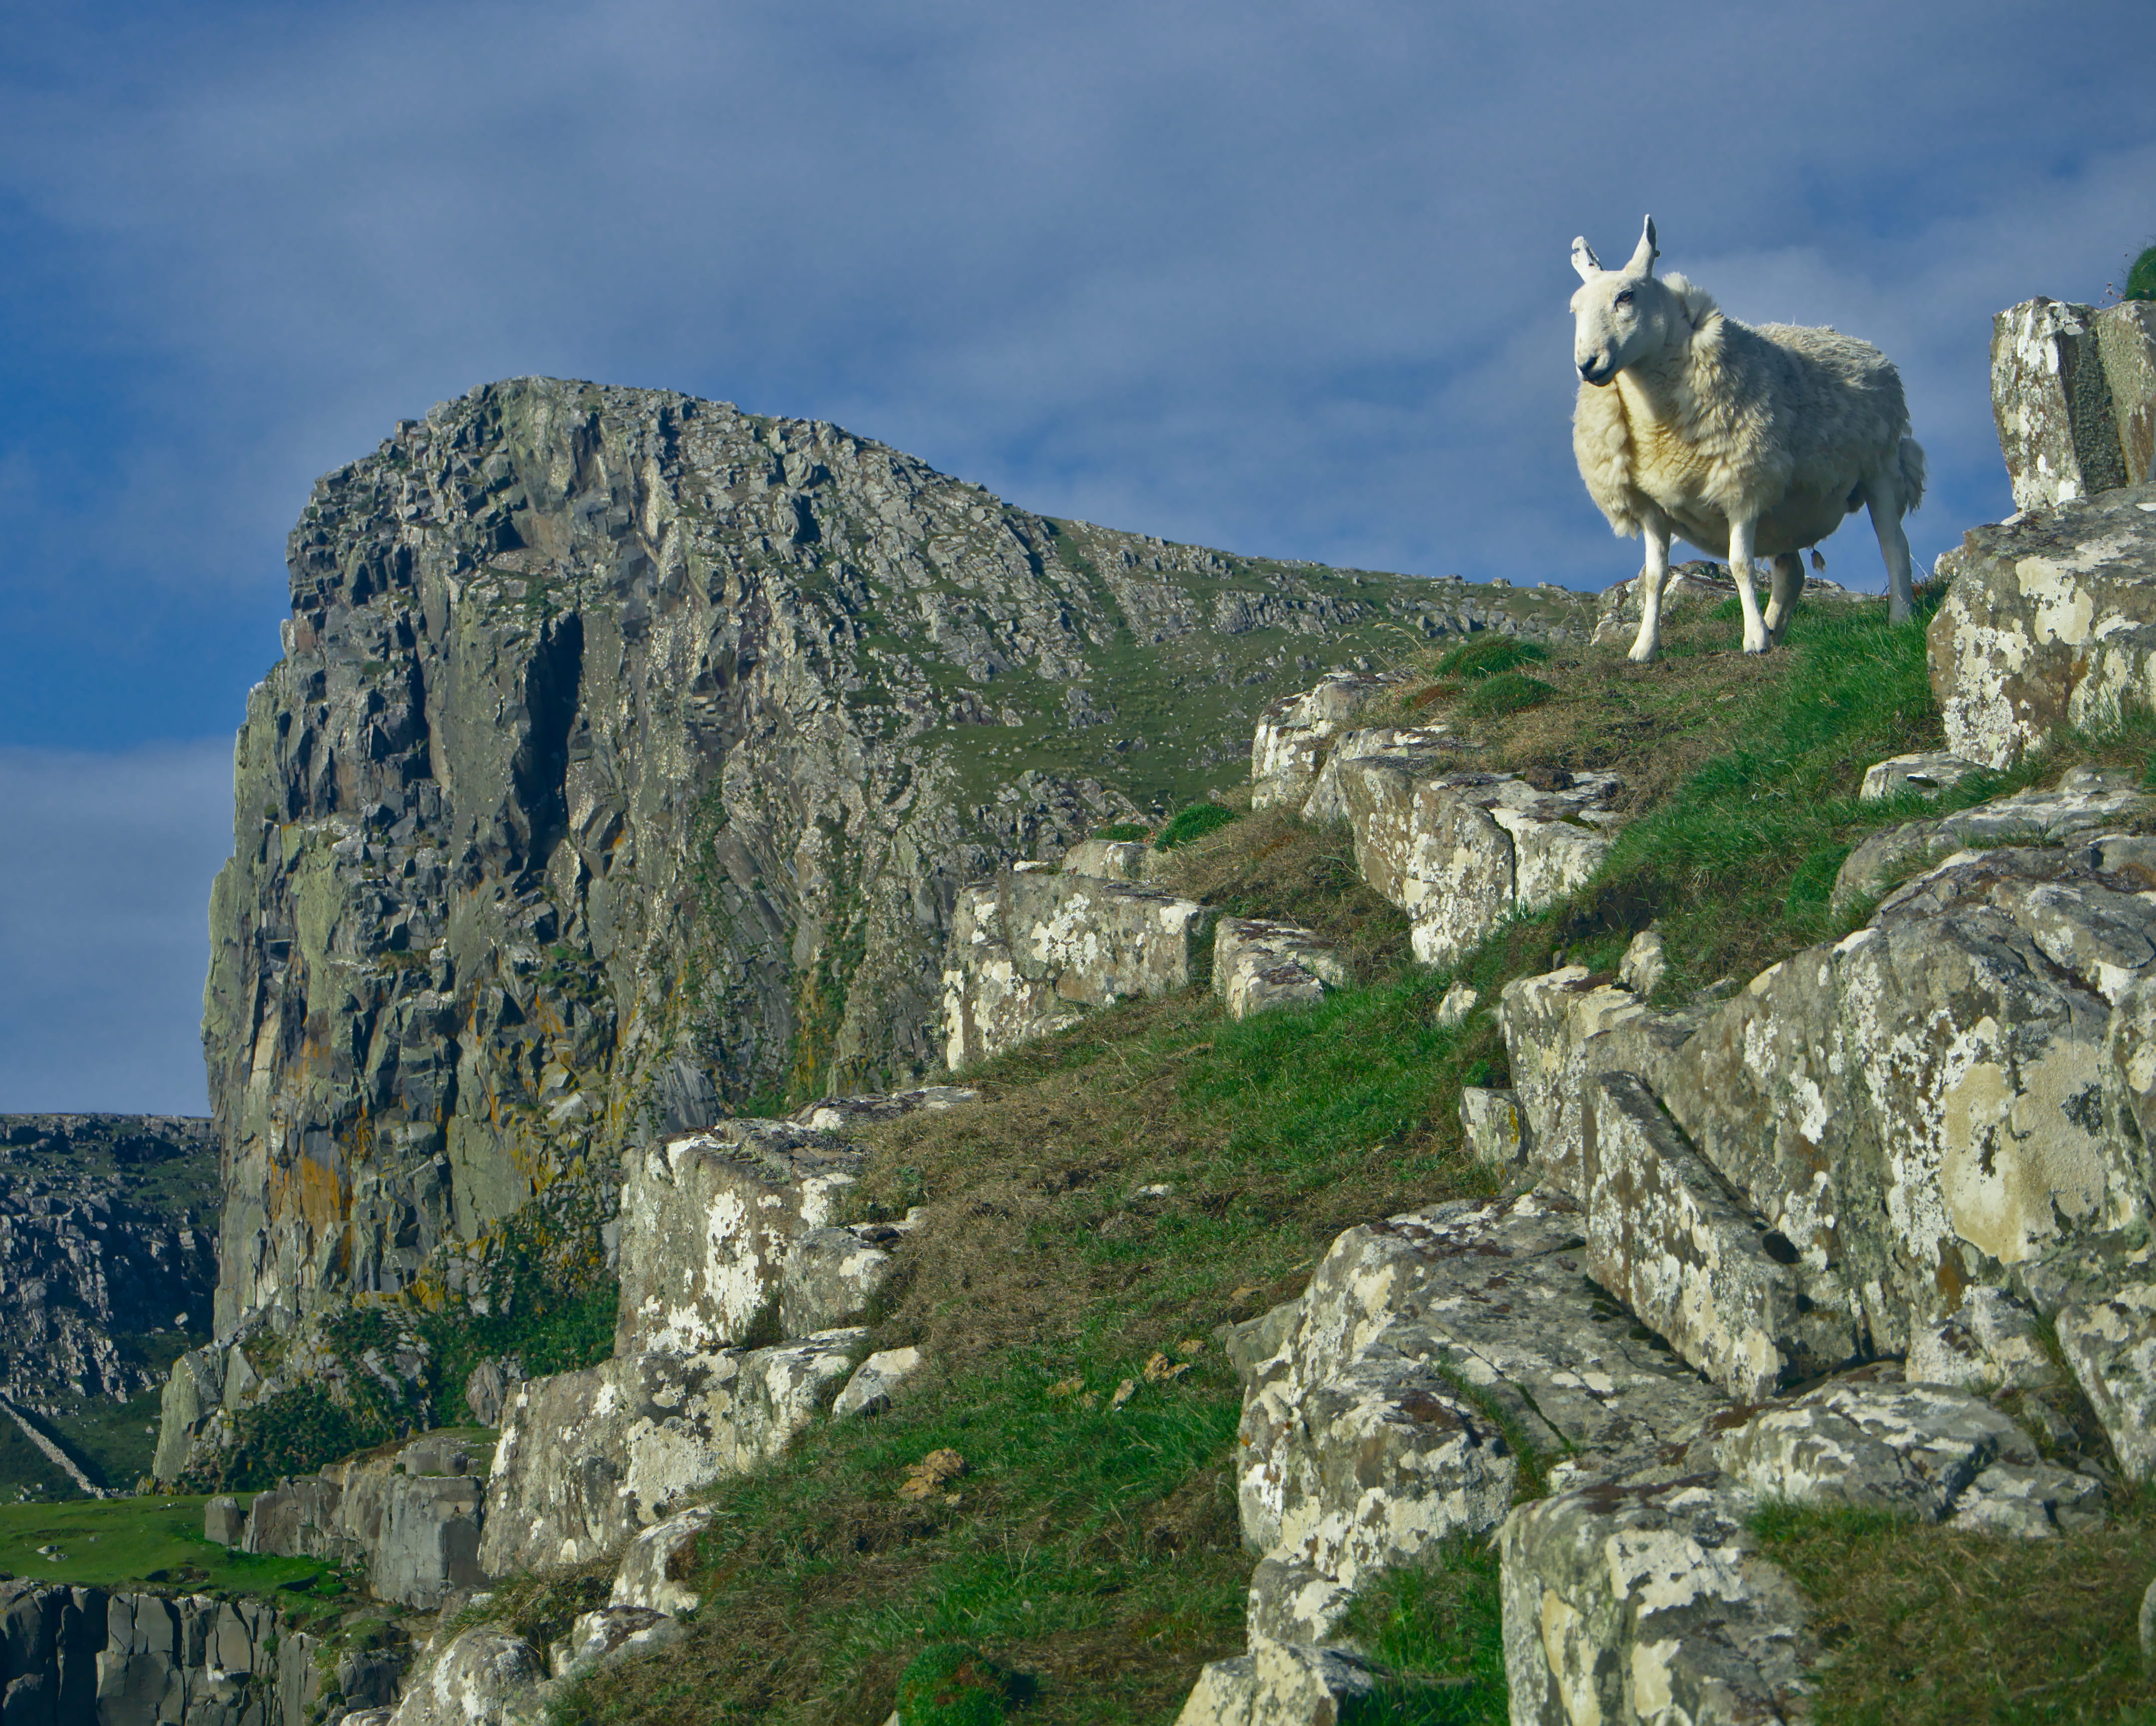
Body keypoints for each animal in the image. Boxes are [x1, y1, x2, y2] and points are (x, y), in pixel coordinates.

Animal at [1569, 216, 1926, 660]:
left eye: (1626, 296)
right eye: (1575, 309)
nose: (1588, 364)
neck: (1659, 424)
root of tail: (1863, 346)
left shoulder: (1741, 485)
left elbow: (1740, 564)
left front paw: (1753, 639)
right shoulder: (1651, 505)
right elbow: (1655, 577)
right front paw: (1644, 648)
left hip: (1881, 469)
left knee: (1894, 546)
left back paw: (1899, 618)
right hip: (1788, 510)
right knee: (1792, 572)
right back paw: (1776, 627)